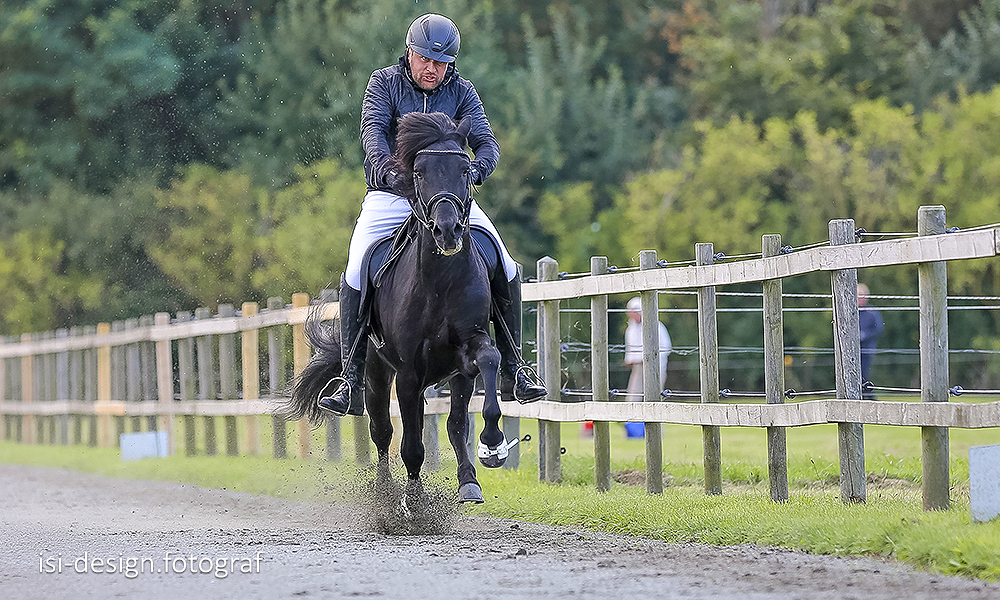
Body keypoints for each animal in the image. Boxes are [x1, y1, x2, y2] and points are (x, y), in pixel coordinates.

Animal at [284, 111, 512, 502]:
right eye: (419, 171)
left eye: (466, 169)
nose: (447, 231)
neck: (441, 282)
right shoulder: (407, 373)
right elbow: (410, 445)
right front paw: (412, 501)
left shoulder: (468, 353)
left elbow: (486, 366)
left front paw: (491, 446)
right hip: (376, 374)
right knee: (382, 432)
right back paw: (384, 489)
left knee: (452, 423)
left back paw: (468, 477)